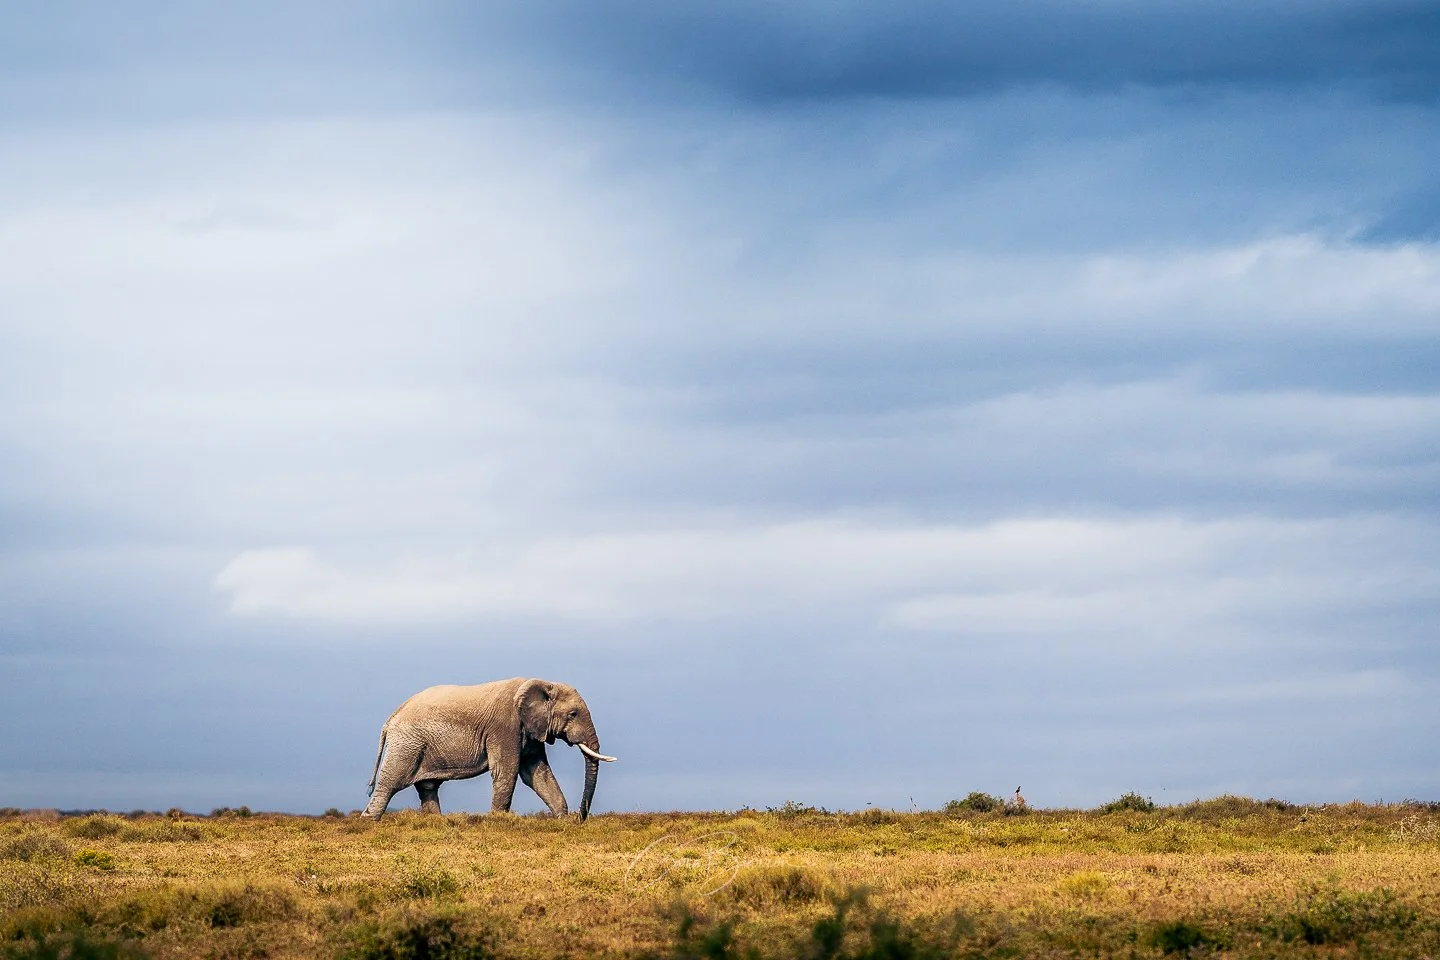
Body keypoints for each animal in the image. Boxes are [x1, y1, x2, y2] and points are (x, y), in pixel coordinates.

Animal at [362, 677, 616, 821]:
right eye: (573, 714)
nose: (580, 818)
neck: (542, 683)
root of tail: (390, 719)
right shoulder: (505, 727)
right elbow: (508, 771)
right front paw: (497, 821)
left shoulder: (531, 732)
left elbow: (537, 774)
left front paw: (563, 820)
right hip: (407, 744)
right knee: (390, 783)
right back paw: (368, 821)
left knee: (427, 787)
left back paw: (435, 823)